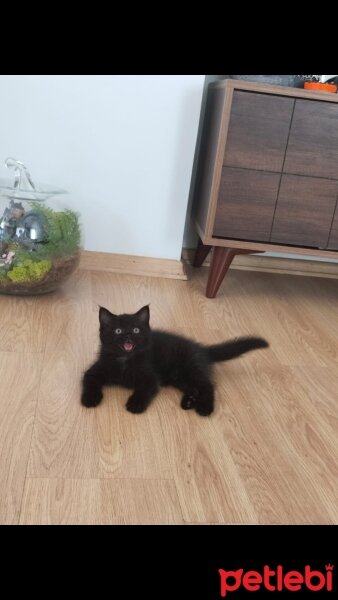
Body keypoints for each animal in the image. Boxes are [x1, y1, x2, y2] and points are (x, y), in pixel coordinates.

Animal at [80, 308, 268, 414]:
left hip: (191, 369)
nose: (128, 336)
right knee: (194, 388)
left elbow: (143, 389)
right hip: (178, 377)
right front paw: (90, 398)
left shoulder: (151, 377)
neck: (125, 360)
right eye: (118, 330)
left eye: (135, 330)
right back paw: (189, 401)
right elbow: (90, 381)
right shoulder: (94, 370)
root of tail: (201, 349)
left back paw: (205, 407)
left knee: (207, 385)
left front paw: (135, 403)